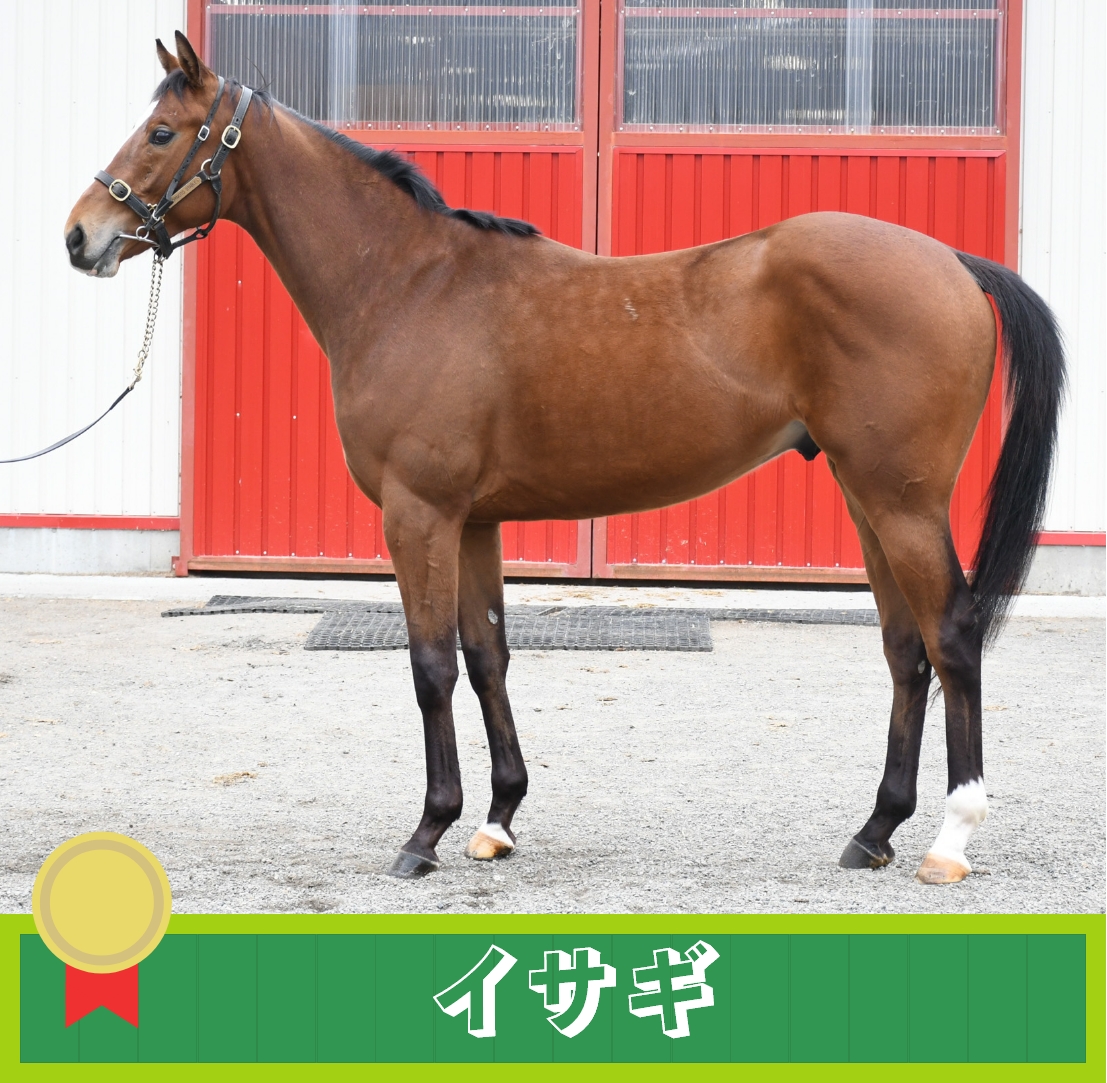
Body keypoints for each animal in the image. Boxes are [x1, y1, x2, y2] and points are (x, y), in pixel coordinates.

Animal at [66, 33, 1064, 885]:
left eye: (161, 132)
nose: (80, 236)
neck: (408, 284)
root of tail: (950, 262)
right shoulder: (473, 522)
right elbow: (486, 655)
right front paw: (495, 820)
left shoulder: (418, 514)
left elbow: (429, 664)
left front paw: (426, 831)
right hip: (869, 499)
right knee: (904, 648)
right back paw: (873, 830)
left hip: (903, 503)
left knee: (951, 634)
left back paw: (950, 838)